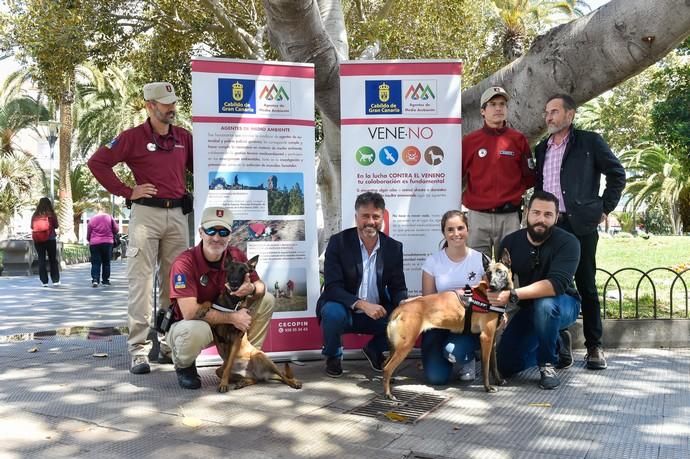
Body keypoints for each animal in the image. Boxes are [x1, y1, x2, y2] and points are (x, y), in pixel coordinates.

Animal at [195, 255, 300, 392]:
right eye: (230, 269)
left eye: (243, 271)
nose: (234, 282)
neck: (233, 302)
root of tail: (260, 374)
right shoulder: (215, 330)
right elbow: (209, 303)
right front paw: (202, 309)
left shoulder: (236, 338)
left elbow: (228, 366)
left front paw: (223, 384)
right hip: (221, 371)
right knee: (253, 379)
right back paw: (243, 382)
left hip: (261, 356)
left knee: (282, 375)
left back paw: (294, 382)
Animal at [382, 250, 510, 400]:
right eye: (489, 273)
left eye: (500, 272)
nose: (493, 286)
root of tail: (400, 308)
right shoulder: (486, 338)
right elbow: (486, 366)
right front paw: (488, 387)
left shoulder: (492, 339)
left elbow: (493, 364)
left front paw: (499, 380)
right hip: (405, 346)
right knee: (387, 368)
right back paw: (388, 394)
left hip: (396, 347)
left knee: (384, 365)